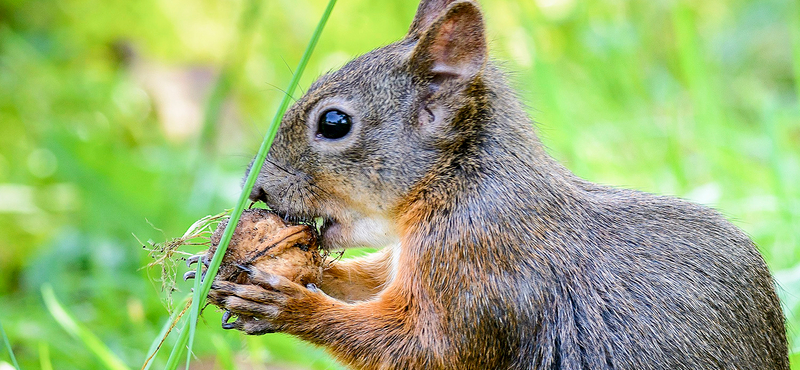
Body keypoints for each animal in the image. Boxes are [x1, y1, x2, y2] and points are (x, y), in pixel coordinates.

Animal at [206, 0, 788, 368]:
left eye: (333, 123)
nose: (256, 190)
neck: (455, 186)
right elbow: (365, 282)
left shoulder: (481, 269)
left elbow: (426, 349)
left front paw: (287, 305)